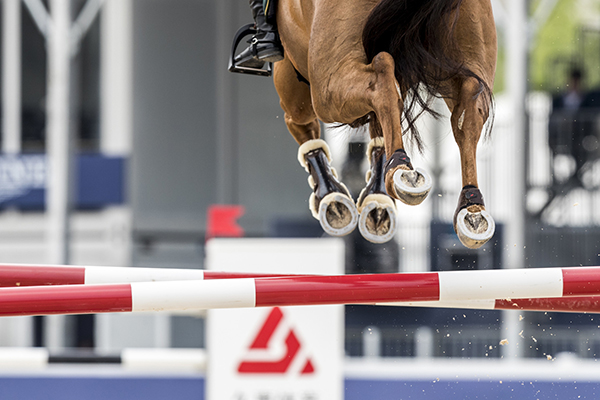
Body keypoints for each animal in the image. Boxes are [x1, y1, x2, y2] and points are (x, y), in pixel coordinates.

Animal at [272, 0, 496, 247]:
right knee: (469, 103)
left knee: (380, 77)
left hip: (323, 88)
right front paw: (374, 198)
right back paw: (471, 209)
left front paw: (333, 197)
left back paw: (399, 169)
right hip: (466, 59)